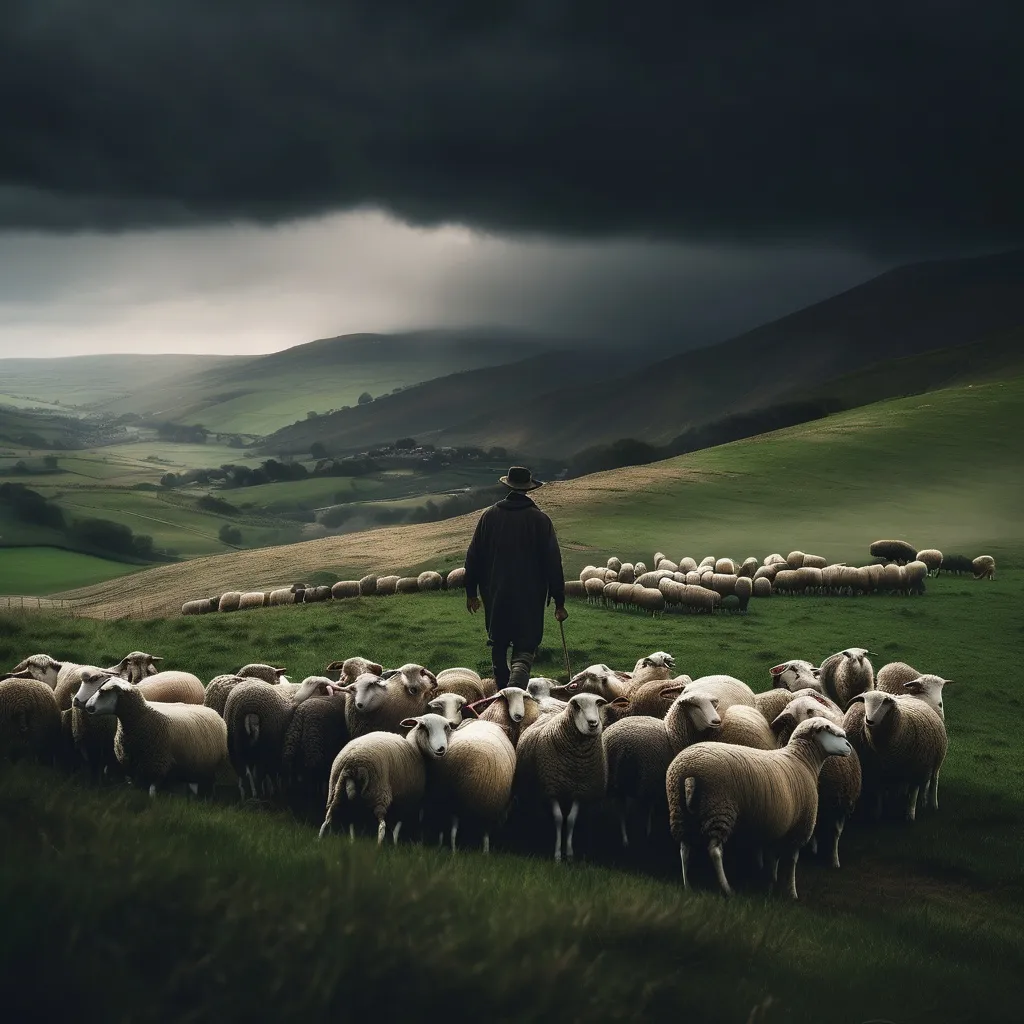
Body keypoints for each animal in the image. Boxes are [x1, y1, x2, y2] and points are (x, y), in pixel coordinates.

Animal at [315, 712, 452, 847]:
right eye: (424, 727)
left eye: (446, 728)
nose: (441, 749)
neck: (415, 749)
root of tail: (354, 763)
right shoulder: (405, 800)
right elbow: (397, 826)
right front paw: (395, 843)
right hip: (379, 791)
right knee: (381, 825)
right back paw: (378, 847)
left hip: (337, 791)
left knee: (328, 819)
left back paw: (324, 840)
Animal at [428, 720, 516, 856]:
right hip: (486, 806)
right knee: (484, 833)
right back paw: (485, 853)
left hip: (447, 800)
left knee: (452, 830)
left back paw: (452, 850)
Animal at [512, 692, 606, 860]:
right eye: (577, 706)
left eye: (598, 704)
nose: (593, 723)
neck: (576, 762)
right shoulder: (552, 788)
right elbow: (558, 818)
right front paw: (556, 854)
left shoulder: (579, 790)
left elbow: (571, 820)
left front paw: (569, 853)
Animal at [770, 692, 860, 868]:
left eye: (810, 710)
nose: (841, 731)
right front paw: (814, 848)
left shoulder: (841, 804)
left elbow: (835, 834)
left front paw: (834, 860)